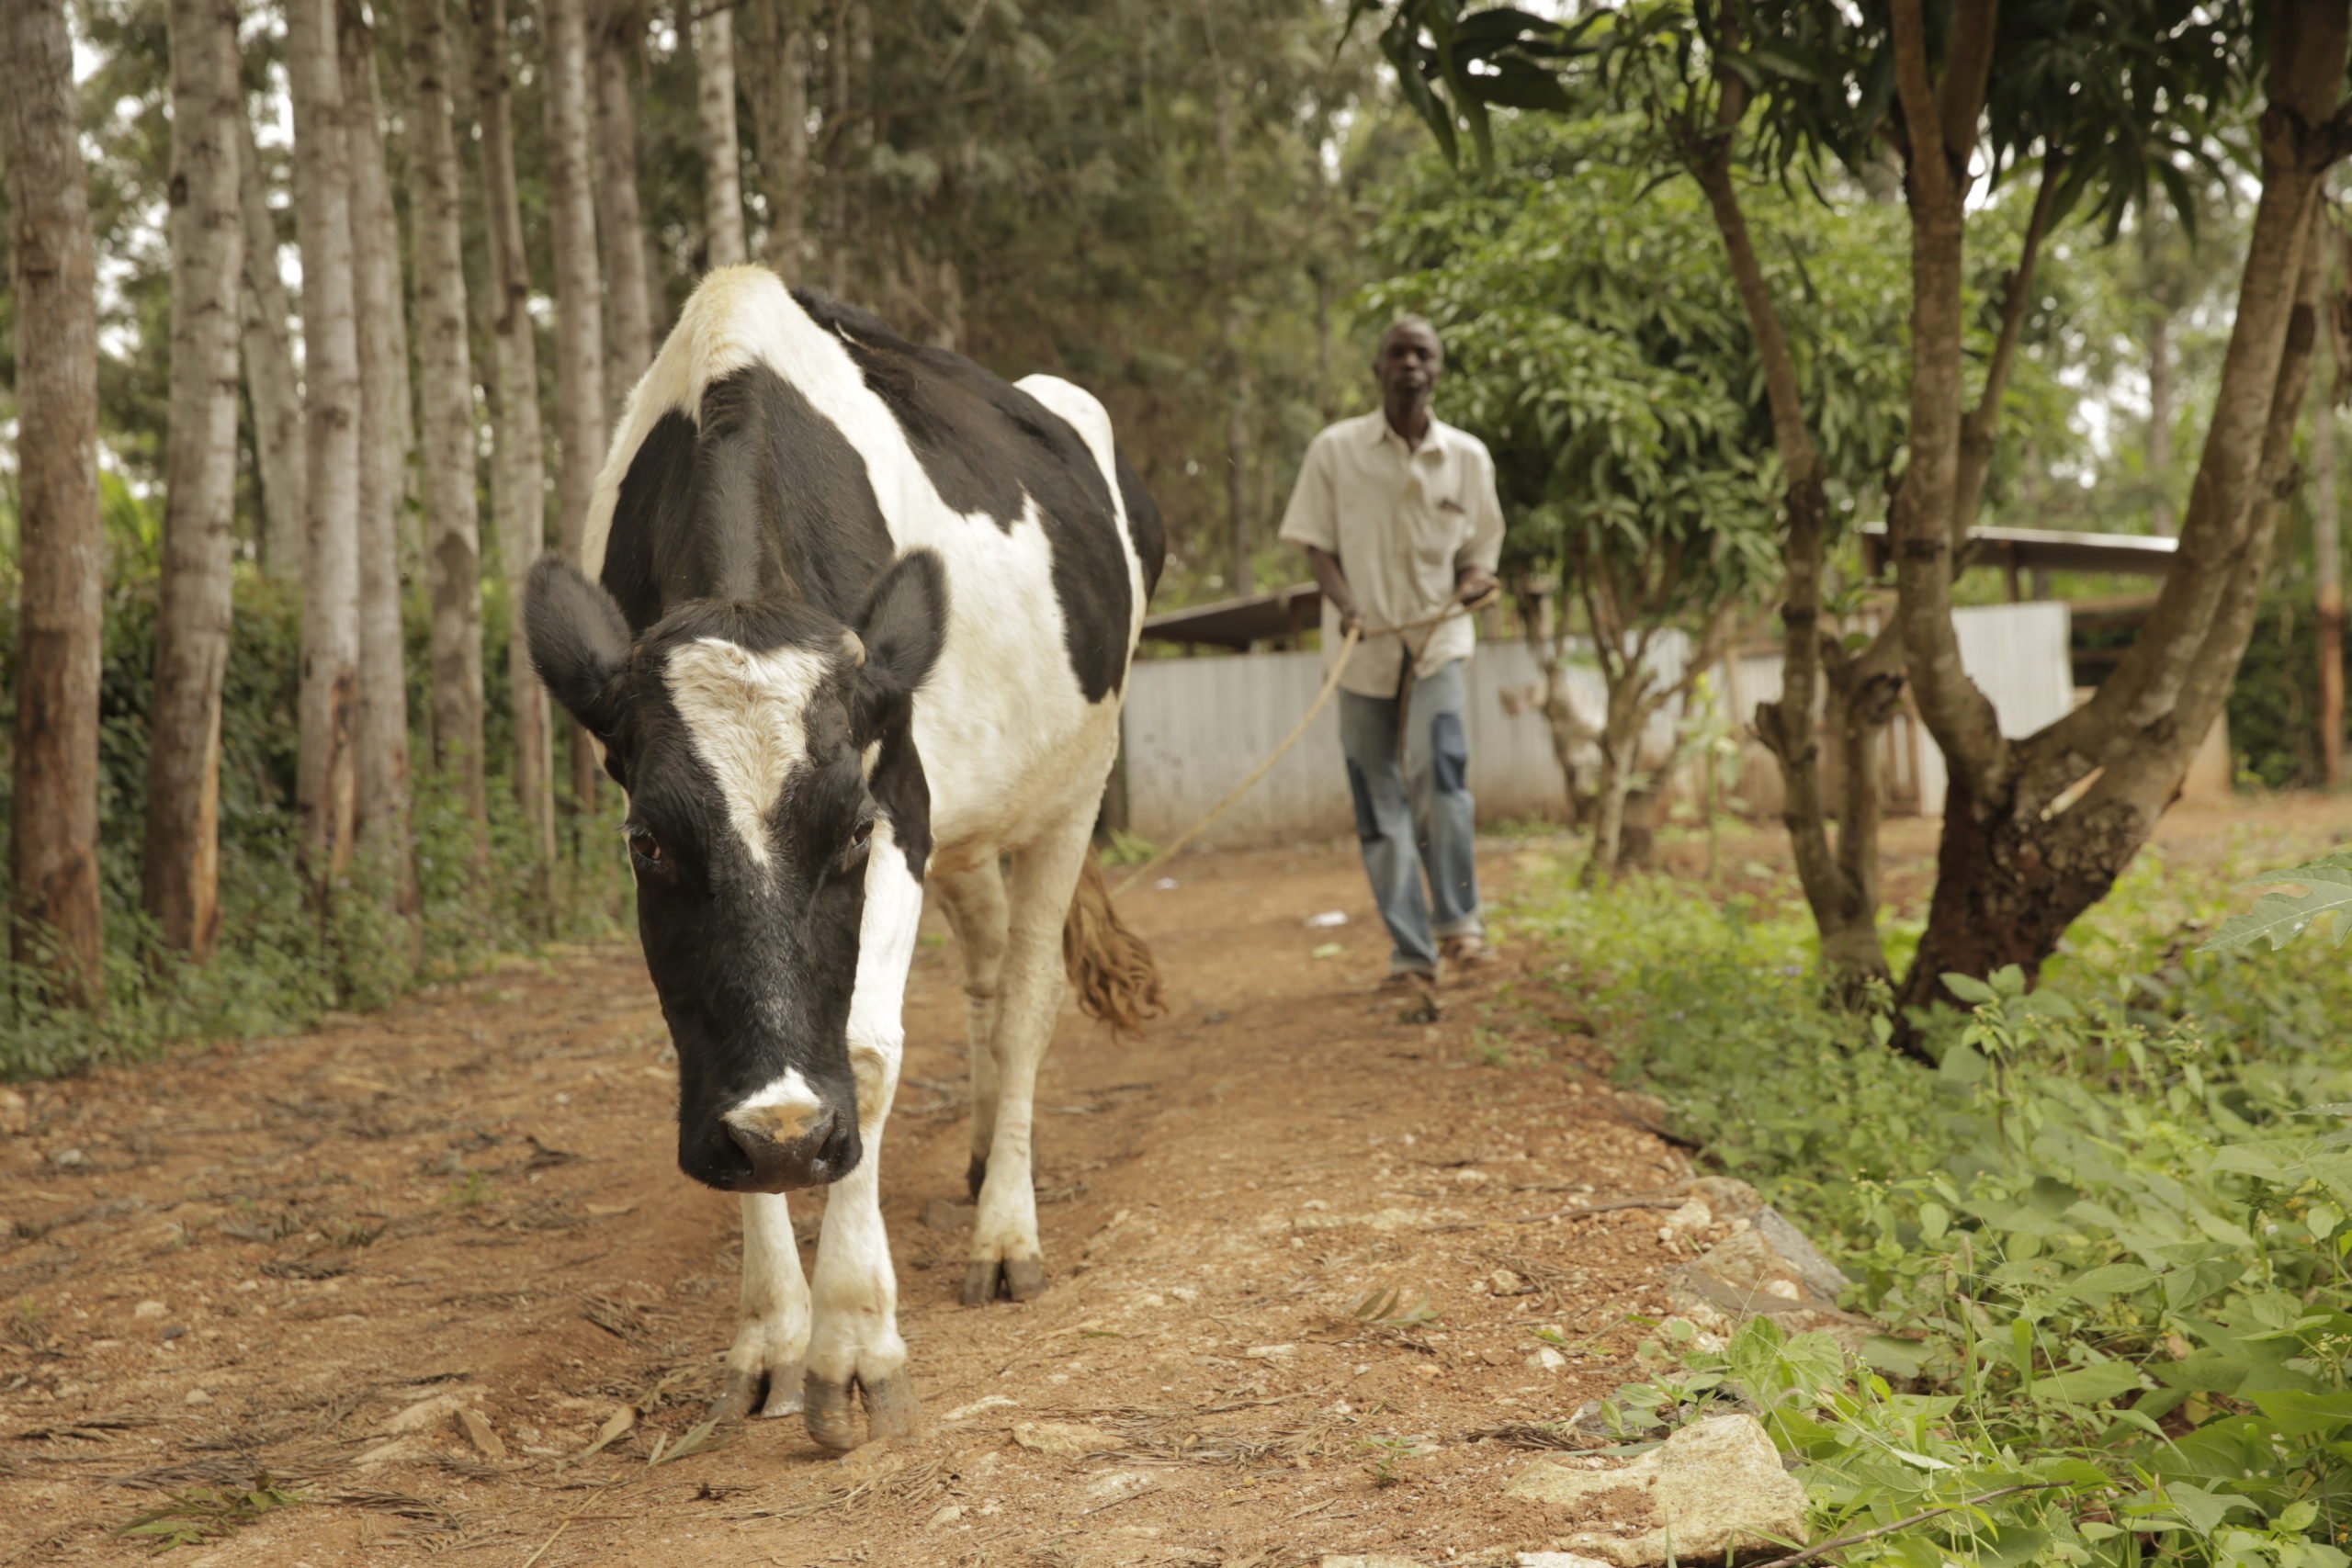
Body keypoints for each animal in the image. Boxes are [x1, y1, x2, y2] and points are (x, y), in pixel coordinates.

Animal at [526, 263, 1166, 1457]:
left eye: (854, 832)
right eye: (647, 841)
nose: (787, 1136)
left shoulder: (903, 801)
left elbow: (865, 1054)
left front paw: (856, 1344)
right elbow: (719, 1047)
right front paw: (772, 1335)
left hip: (1076, 782)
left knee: (1026, 997)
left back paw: (1004, 1233)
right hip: (973, 825)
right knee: (986, 976)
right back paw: (976, 1158)